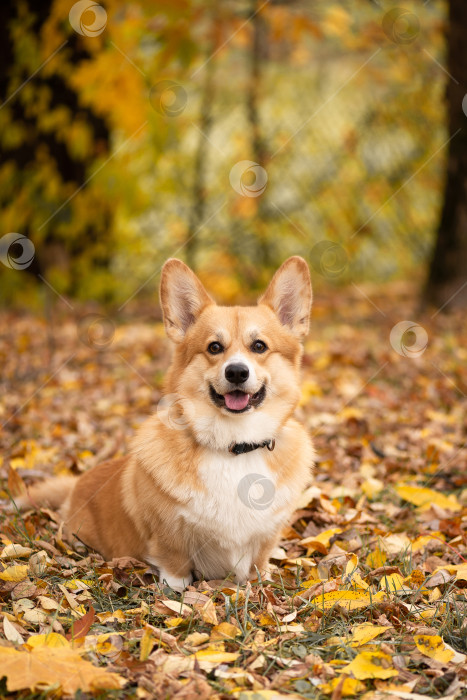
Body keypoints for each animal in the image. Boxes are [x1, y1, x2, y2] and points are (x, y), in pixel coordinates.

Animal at [15, 258, 314, 592]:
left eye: (259, 346)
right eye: (214, 347)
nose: (237, 372)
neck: (233, 445)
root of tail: (77, 483)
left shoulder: (266, 537)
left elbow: (258, 564)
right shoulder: (168, 536)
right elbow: (175, 567)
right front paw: (175, 593)